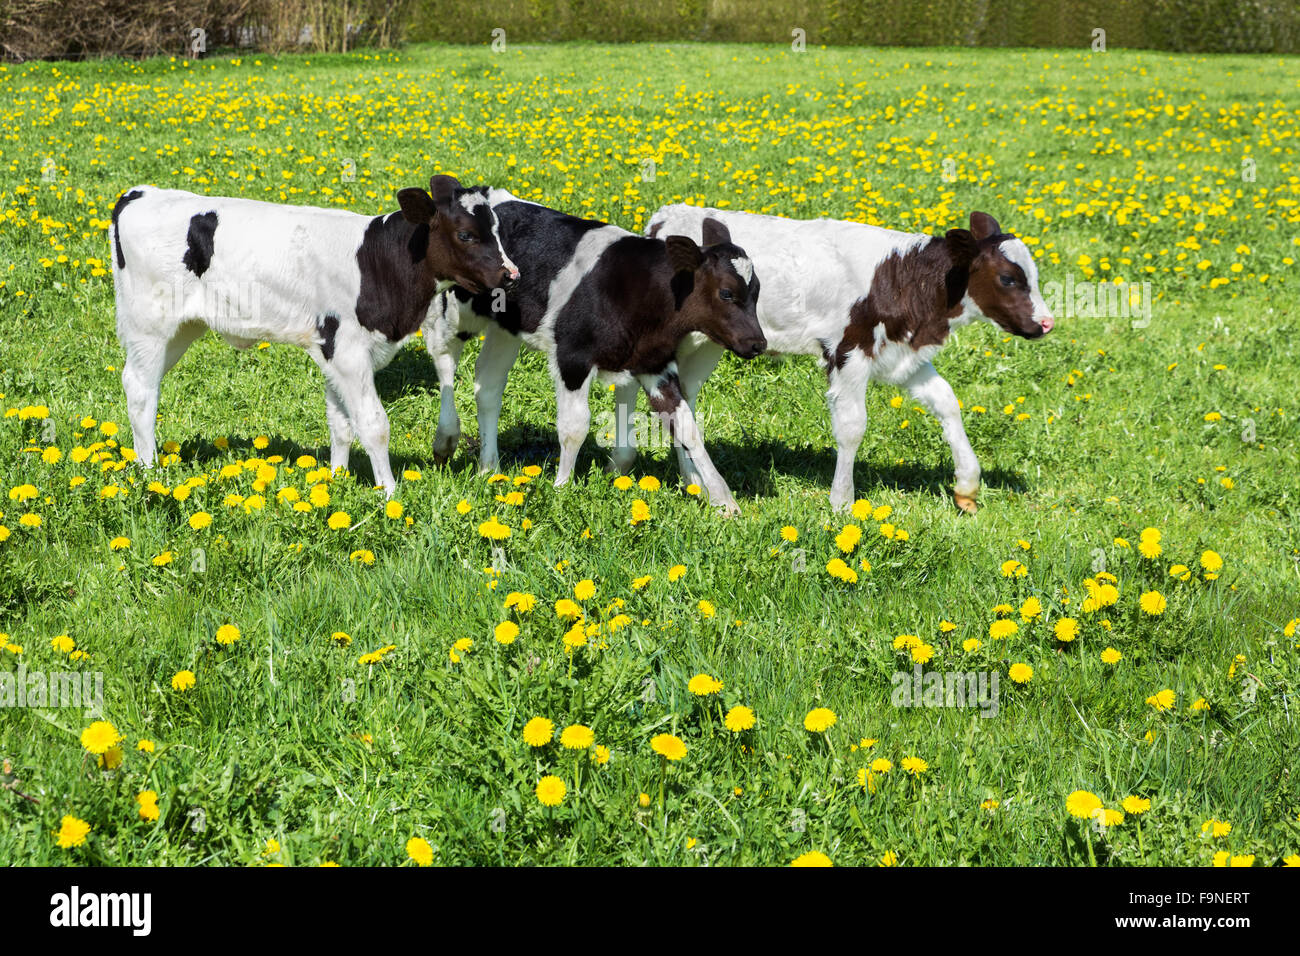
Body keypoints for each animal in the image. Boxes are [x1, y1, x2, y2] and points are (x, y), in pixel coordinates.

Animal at [110, 174, 517, 496]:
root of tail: (139, 193)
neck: (376, 261)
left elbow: (341, 424)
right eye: (465, 234)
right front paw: (389, 494)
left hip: (182, 329)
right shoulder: (347, 349)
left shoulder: (334, 352)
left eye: (497, 230)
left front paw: (337, 480)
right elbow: (373, 424)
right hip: (149, 325)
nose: (511, 274)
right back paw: (149, 470)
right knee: (140, 389)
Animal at [418, 191, 759, 512]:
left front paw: (723, 499)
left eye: (756, 292)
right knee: (443, 357)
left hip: (506, 328)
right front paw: (561, 489)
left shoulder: (654, 364)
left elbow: (687, 427)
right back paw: (446, 438)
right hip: (455, 309)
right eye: (726, 293)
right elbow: (575, 426)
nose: (757, 342)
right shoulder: (572, 357)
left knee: (488, 384)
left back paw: (489, 467)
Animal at [642, 205, 1055, 512]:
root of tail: (667, 215)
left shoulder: (901, 353)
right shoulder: (847, 351)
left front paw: (967, 486)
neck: (901, 277)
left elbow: (947, 401)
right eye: (1008, 279)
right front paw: (842, 501)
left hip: (708, 343)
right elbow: (852, 426)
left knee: (685, 397)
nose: (1047, 322)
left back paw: (693, 483)